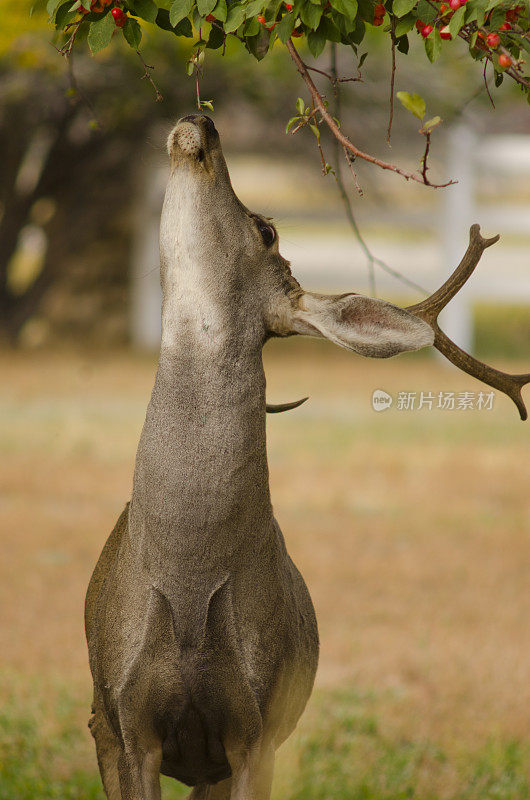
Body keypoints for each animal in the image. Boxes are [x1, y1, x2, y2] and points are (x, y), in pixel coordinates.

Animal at [84, 112, 524, 800]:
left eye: (266, 229)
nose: (202, 122)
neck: (190, 577)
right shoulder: (128, 725)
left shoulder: (259, 728)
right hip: (99, 719)